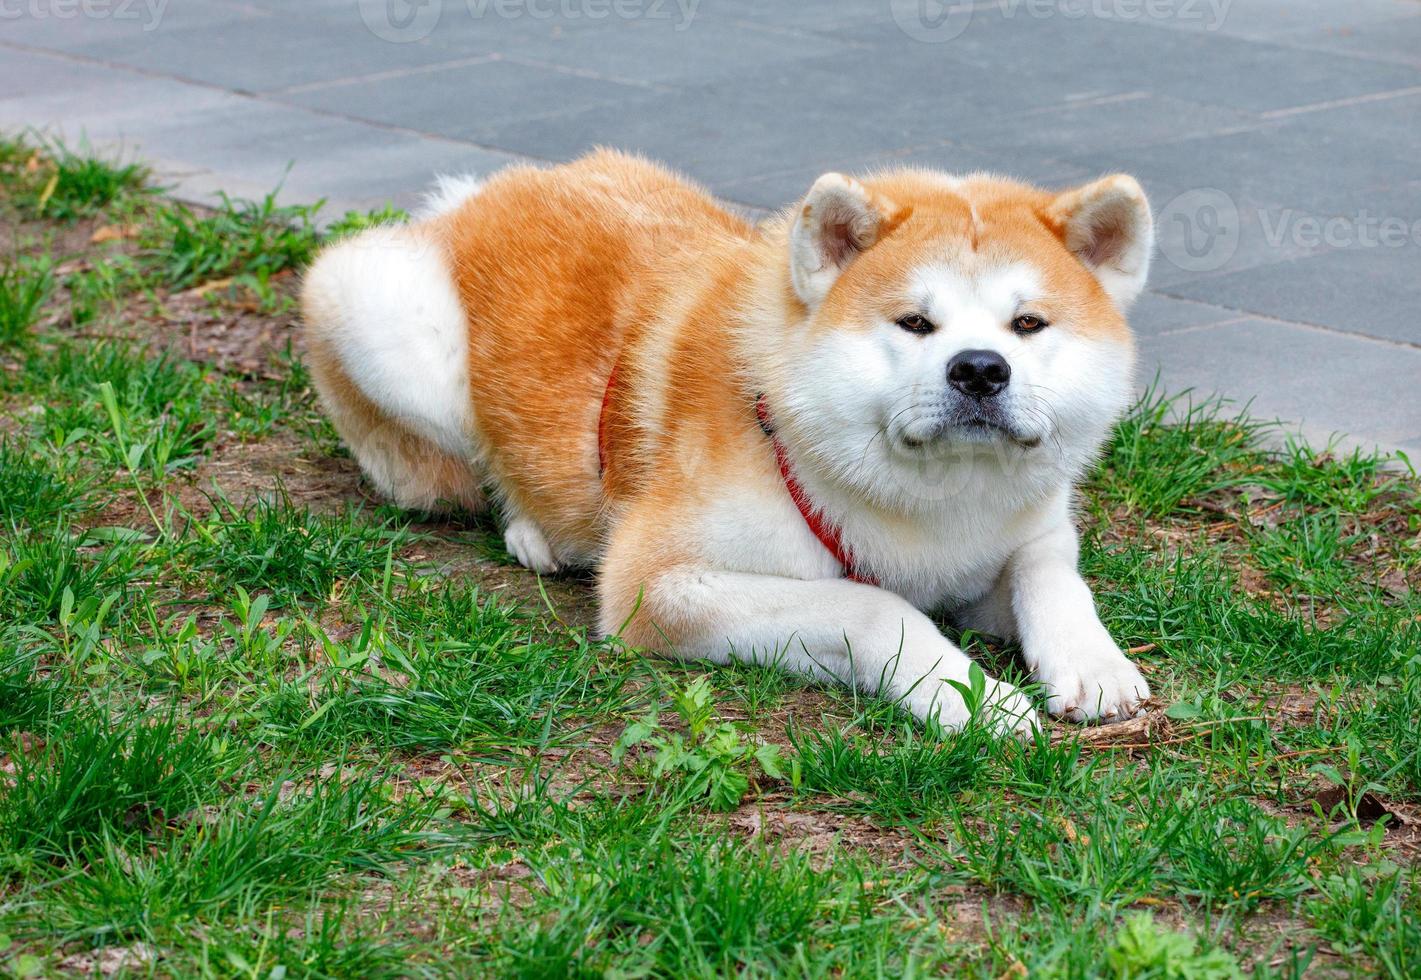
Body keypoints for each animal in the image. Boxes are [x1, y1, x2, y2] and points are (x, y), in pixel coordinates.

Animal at [299, 149, 1153, 732]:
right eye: (914, 322)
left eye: (1027, 324)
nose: (978, 368)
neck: (934, 508)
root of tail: (484, 194)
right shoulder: (656, 586)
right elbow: (874, 607)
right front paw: (971, 696)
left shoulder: (1005, 543)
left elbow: (1050, 571)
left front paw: (1090, 660)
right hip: (375, 308)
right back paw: (532, 528)